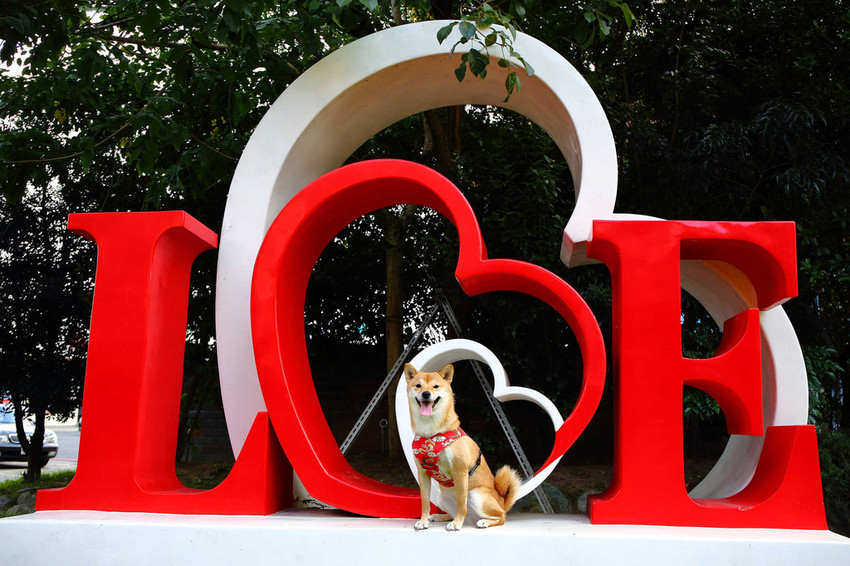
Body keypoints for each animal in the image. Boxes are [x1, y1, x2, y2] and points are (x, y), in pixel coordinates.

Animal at [404, 363, 521, 531]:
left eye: (436, 386)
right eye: (418, 386)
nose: (426, 394)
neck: (431, 433)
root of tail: (501, 502)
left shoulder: (460, 471)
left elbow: (461, 503)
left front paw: (456, 523)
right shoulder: (423, 473)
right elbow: (425, 502)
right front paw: (423, 520)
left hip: (477, 495)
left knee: (500, 517)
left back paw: (483, 521)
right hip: (442, 497)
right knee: (452, 513)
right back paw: (439, 516)